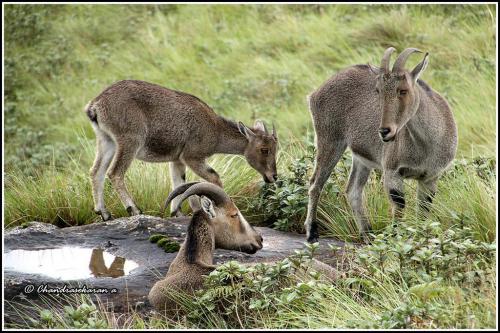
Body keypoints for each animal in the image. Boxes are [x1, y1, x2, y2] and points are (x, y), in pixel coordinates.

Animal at [85, 80, 278, 220]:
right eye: (264, 149)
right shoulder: (192, 156)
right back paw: (134, 210)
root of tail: (95, 106)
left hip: (106, 140)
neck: (215, 131)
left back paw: (104, 213)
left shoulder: (177, 159)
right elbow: (214, 178)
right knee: (115, 173)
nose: (273, 176)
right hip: (130, 140)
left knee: (96, 171)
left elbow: (179, 183)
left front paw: (176, 212)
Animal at [304, 47, 458, 241]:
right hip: (330, 140)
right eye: (378, 91)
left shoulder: (430, 177)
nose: (385, 131)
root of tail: (315, 94)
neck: (426, 147)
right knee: (315, 183)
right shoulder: (392, 171)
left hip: (361, 158)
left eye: (403, 90)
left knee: (353, 190)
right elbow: (399, 207)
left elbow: (423, 212)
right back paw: (312, 232)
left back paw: (367, 234)